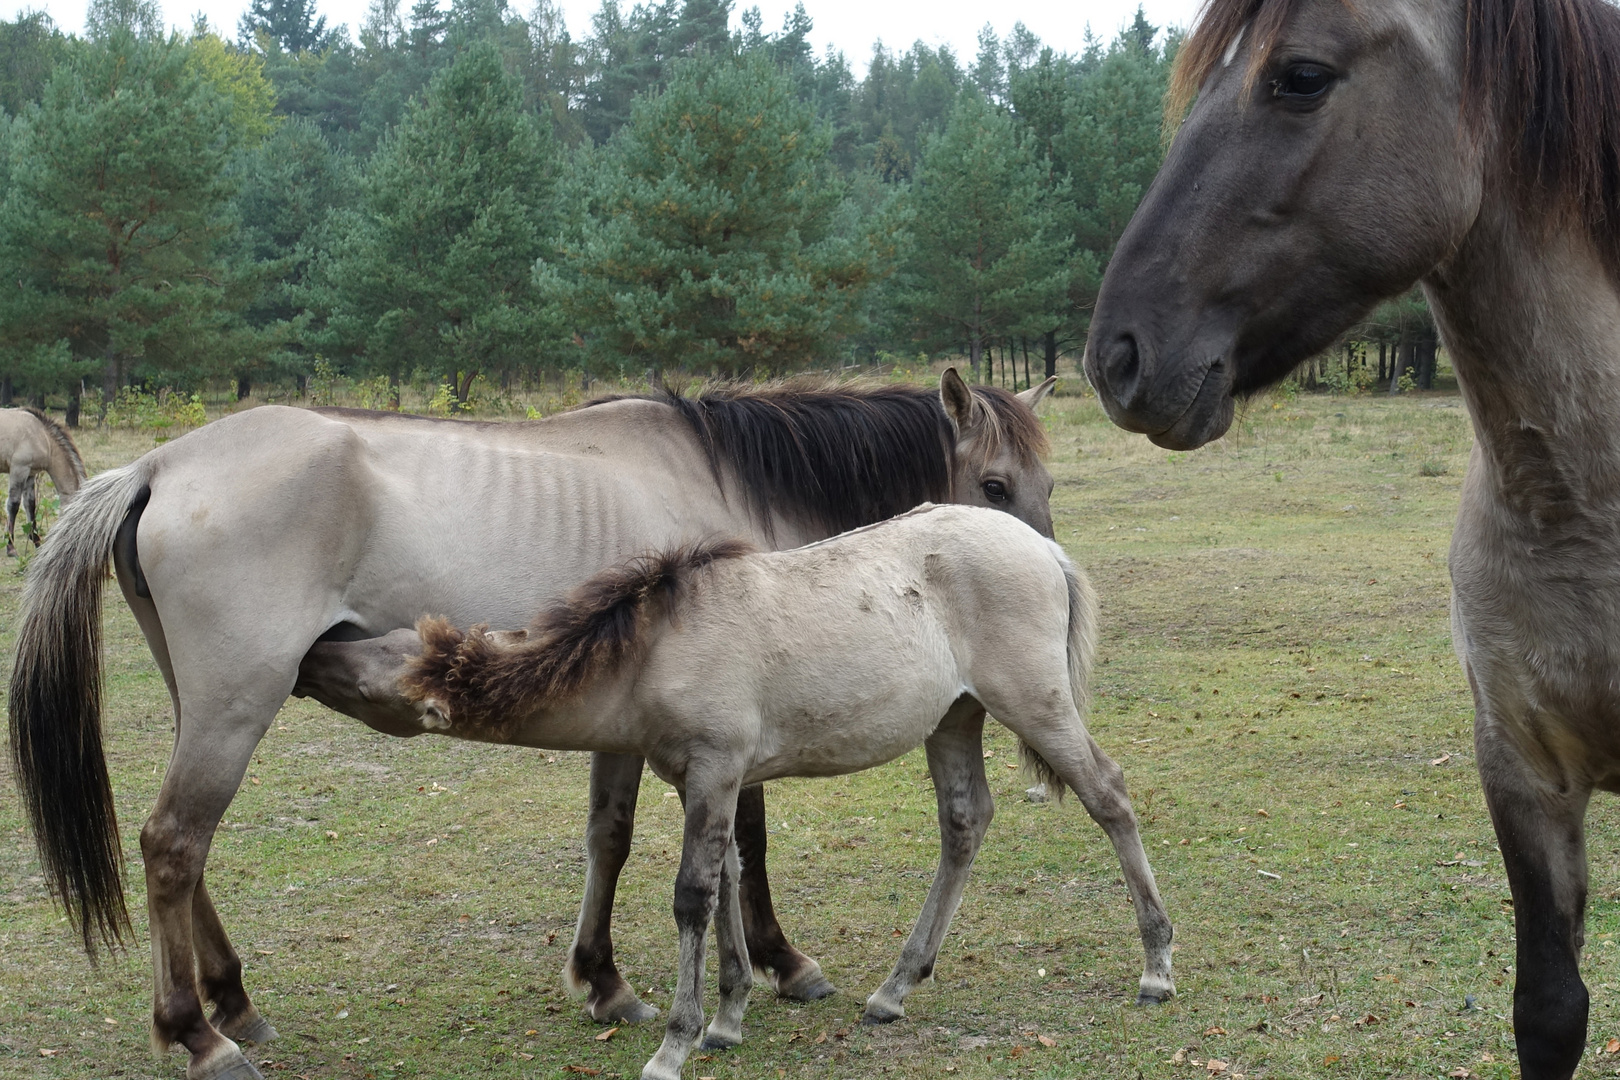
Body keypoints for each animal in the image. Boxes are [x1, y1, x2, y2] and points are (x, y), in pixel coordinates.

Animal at [0, 404, 85, 557]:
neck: (42, 437)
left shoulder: (30, 474)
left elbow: (30, 505)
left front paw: (36, 541)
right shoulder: (19, 469)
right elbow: (13, 505)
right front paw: (10, 547)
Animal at [9, 372, 1062, 1080]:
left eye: (1044, 485)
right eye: (996, 485)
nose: (1049, 578)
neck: (724, 479)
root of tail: (157, 465)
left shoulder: (624, 719)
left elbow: (610, 836)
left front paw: (606, 982)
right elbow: (744, 841)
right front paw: (780, 964)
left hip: (210, 704)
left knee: (187, 854)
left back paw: (234, 1002)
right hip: (237, 701)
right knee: (173, 844)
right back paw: (198, 1032)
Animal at [332, 508, 1179, 1080]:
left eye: (382, 662)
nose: (317, 650)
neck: (655, 647)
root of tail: (1042, 546)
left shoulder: (714, 769)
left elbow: (692, 896)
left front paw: (675, 1042)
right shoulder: (705, 779)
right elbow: (732, 877)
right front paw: (730, 1016)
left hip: (1034, 701)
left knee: (1108, 795)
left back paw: (1156, 967)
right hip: (954, 718)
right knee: (965, 822)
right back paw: (894, 987)